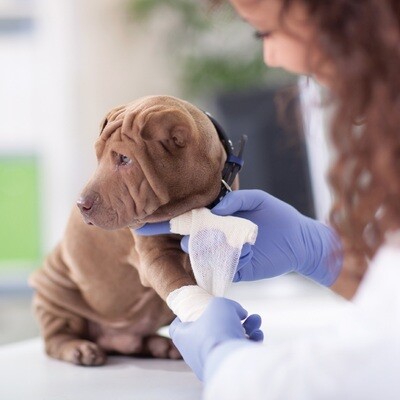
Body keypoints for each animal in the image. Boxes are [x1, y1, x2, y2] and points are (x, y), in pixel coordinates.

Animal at [31, 96, 238, 366]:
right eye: (98, 156)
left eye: (124, 159)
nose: (81, 205)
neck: (190, 203)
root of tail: (112, 340)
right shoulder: (155, 255)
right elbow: (177, 281)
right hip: (53, 295)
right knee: (55, 338)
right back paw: (79, 349)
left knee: (138, 342)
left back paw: (162, 346)